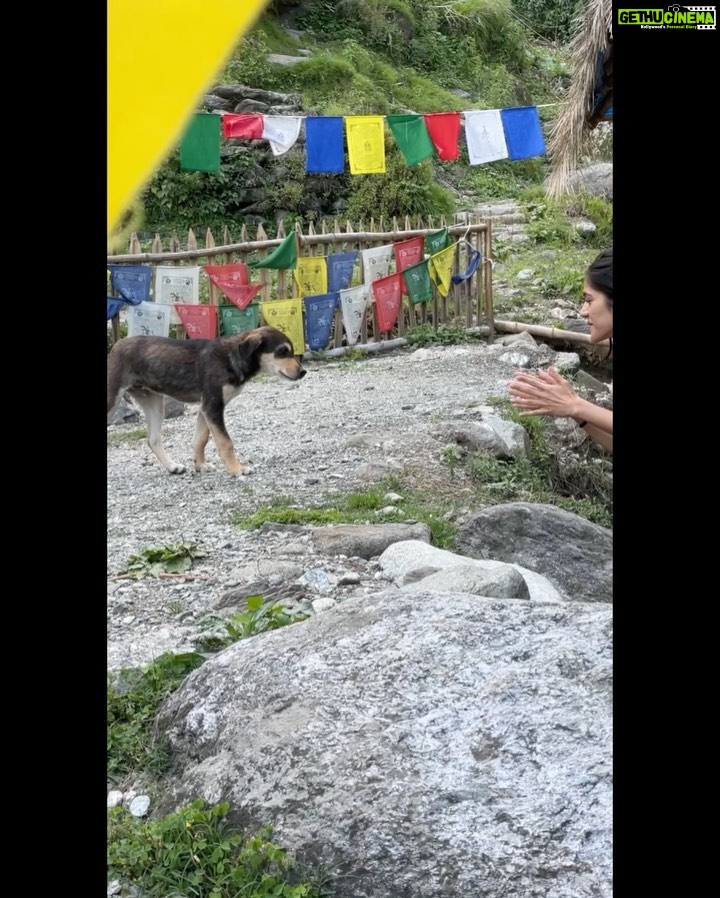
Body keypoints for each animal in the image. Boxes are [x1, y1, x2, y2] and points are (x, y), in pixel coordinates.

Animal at [108, 324, 306, 476]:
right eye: (282, 351)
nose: (303, 372)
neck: (230, 357)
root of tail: (115, 346)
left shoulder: (207, 408)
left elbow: (201, 439)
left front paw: (200, 465)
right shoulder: (213, 406)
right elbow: (225, 442)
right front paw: (236, 469)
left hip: (154, 403)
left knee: (153, 439)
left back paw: (172, 467)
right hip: (113, 400)